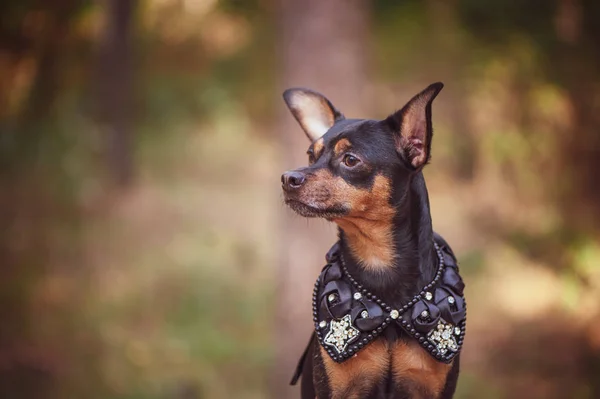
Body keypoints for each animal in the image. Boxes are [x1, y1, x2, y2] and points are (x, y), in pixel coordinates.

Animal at [278, 83, 466, 398]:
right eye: (310, 155)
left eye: (351, 160)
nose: (287, 178)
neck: (378, 260)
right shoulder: (338, 388)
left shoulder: (431, 387)